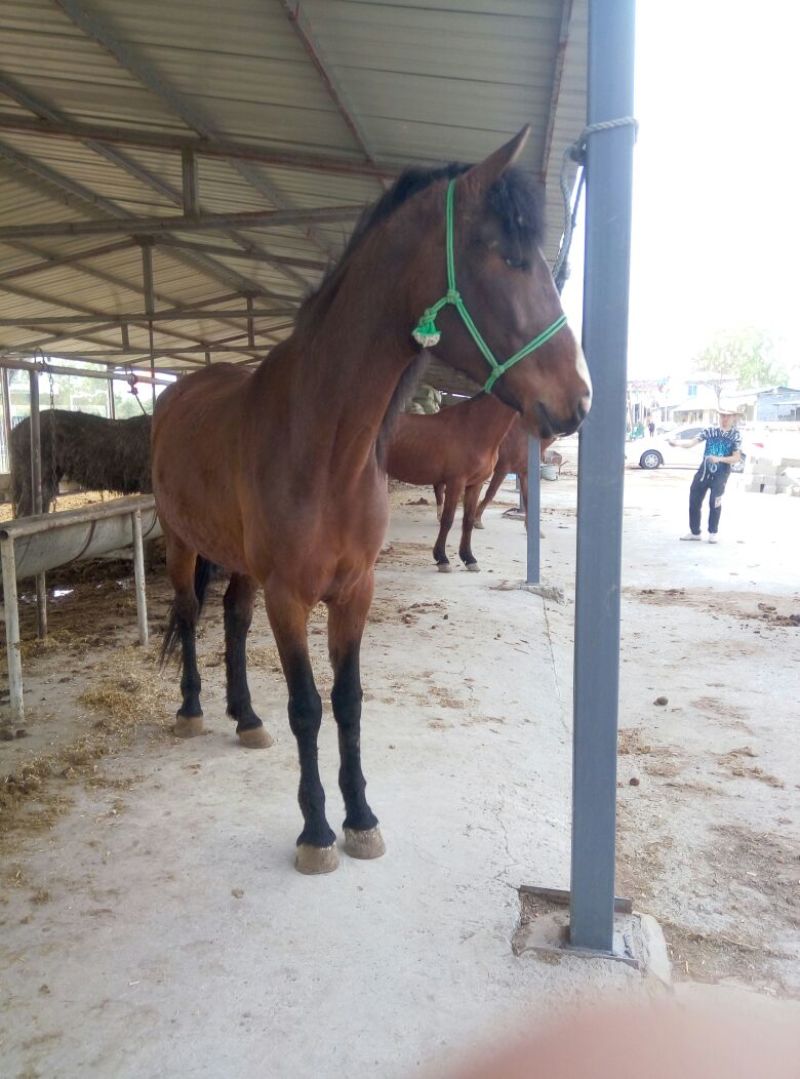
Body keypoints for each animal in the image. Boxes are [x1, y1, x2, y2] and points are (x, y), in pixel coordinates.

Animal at [387, 392, 516, 571]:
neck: (474, 428)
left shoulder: (475, 485)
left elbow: (468, 520)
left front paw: (469, 558)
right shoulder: (455, 483)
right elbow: (447, 520)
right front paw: (442, 559)